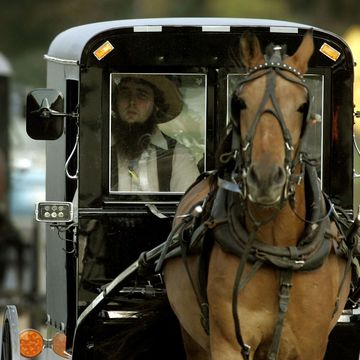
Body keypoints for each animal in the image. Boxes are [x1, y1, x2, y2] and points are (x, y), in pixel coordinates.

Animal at [162, 31, 350, 360]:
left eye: (303, 105)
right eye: (239, 102)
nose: (265, 179)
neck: (279, 251)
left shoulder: (312, 344)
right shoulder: (229, 342)